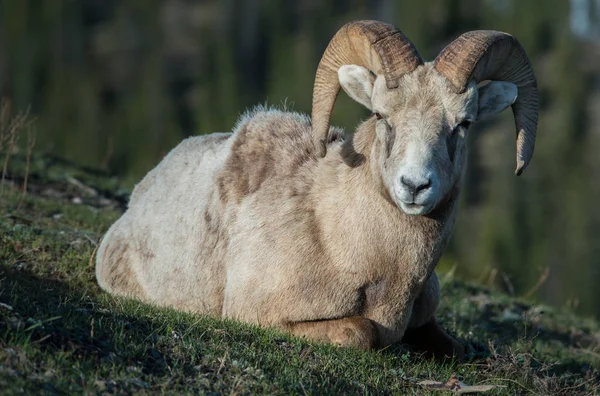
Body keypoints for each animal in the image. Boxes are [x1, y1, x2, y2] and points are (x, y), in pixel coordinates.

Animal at [96, 20, 536, 358]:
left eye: (464, 124)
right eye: (382, 115)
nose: (415, 185)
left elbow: (459, 349)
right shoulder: (259, 313)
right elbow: (360, 332)